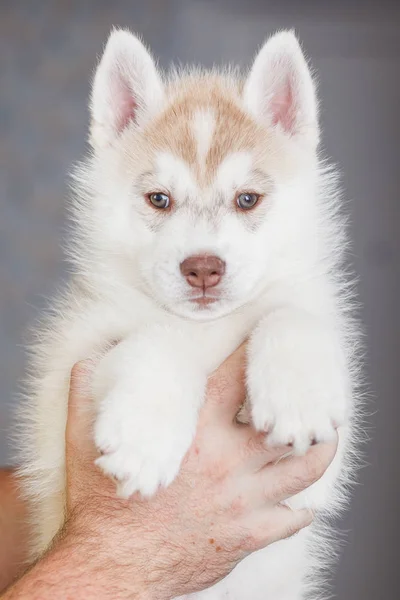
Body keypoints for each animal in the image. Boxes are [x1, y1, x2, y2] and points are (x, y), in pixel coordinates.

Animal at [18, 28, 360, 600]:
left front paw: (297, 395)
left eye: (248, 199)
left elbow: (290, 315)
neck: (208, 328)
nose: (203, 268)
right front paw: (143, 434)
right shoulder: (78, 358)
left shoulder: (320, 469)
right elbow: (159, 337)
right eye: (159, 199)